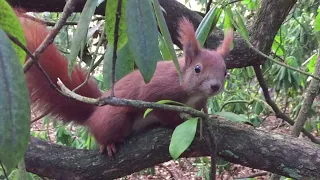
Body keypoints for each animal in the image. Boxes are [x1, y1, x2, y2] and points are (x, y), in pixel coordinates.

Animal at [16, 9, 232, 157]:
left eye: (225, 71)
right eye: (197, 69)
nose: (215, 86)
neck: (192, 92)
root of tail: (94, 111)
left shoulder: (199, 101)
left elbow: (201, 110)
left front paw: (207, 116)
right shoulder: (157, 91)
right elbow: (158, 107)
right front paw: (178, 121)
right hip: (114, 118)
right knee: (103, 132)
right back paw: (108, 144)